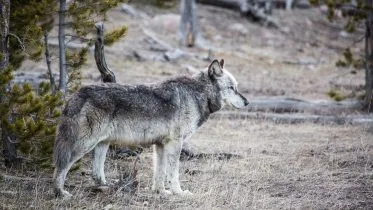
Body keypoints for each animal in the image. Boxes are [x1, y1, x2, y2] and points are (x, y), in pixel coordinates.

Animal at [52, 59, 247, 199]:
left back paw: (108, 188)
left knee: (96, 174)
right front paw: (179, 192)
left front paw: (161, 192)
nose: (247, 102)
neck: (198, 94)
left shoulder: (160, 145)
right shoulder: (175, 143)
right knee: (61, 166)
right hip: (84, 145)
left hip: (102, 145)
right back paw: (60, 193)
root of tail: (76, 95)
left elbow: (159, 173)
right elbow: (173, 173)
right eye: (232, 88)